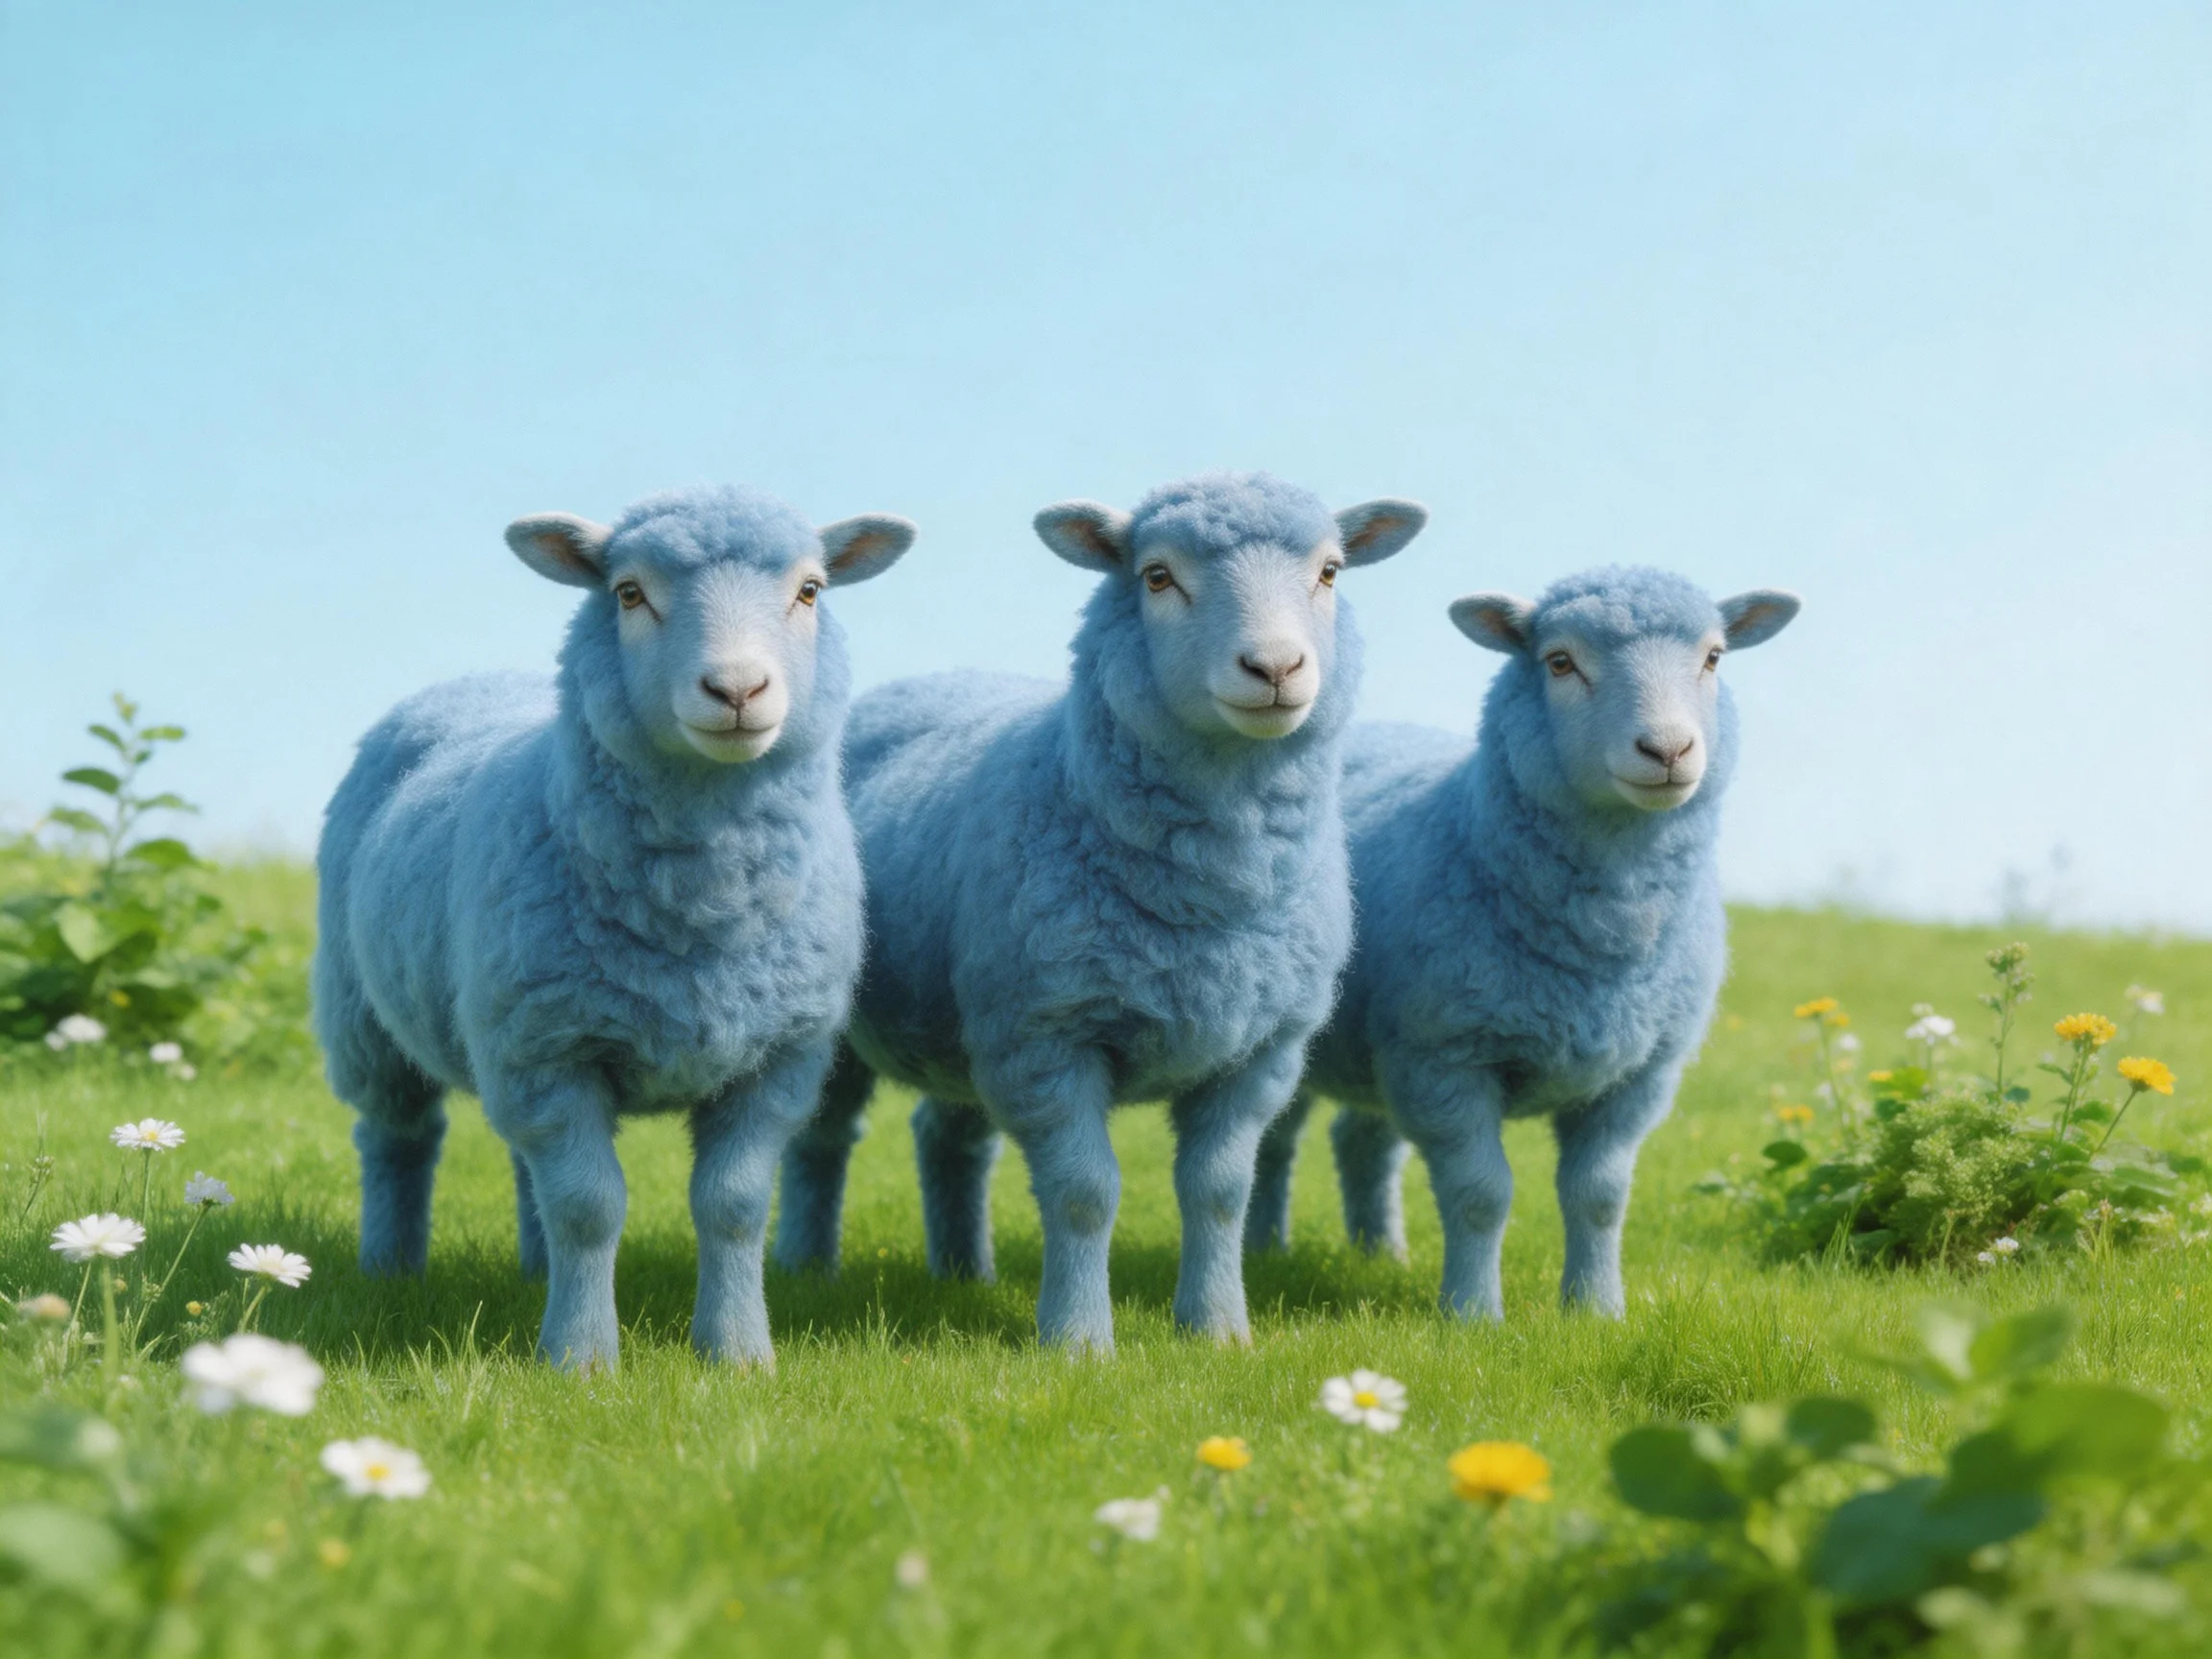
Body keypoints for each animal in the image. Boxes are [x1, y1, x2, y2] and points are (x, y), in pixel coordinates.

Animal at [312, 485, 915, 1369]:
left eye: (810, 591)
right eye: (629, 593)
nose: (737, 689)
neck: (701, 909)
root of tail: (480, 679)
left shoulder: (776, 1061)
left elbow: (734, 1205)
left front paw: (738, 1353)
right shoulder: (551, 1050)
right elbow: (590, 1207)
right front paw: (580, 1359)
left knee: (522, 1162)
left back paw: (534, 1272)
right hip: (370, 1021)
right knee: (399, 1137)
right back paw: (391, 1268)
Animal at [771, 473, 1427, 1351]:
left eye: (1330, 571)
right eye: (1156, 576)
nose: (1276, 666)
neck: (1213, 894)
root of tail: (931, 679)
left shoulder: (1261, 1051)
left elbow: (1221, 1190)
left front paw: (1218, 1330)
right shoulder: (1048, 1033)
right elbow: (1085, 1191)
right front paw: (1079, 1341)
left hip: (967, 1020)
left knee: (949, 1138)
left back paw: (964, 1274)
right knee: (823, 1138)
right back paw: (808, 1270)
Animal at [1244, 567, 1798, 1318]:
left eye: (1714, 658)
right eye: (1560, 662)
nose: (1668, 751)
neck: (1607, 938)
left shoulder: (1640, 1074)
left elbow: (1600, 1197)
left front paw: (1597, 1311)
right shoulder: (1445, 1057)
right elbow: (1480, 1194)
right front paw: (1473, 1316)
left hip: (1378, 1043)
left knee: (1361, 1138)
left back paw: (1380, 1252)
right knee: (1275, 1143)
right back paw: (1265, 1249)